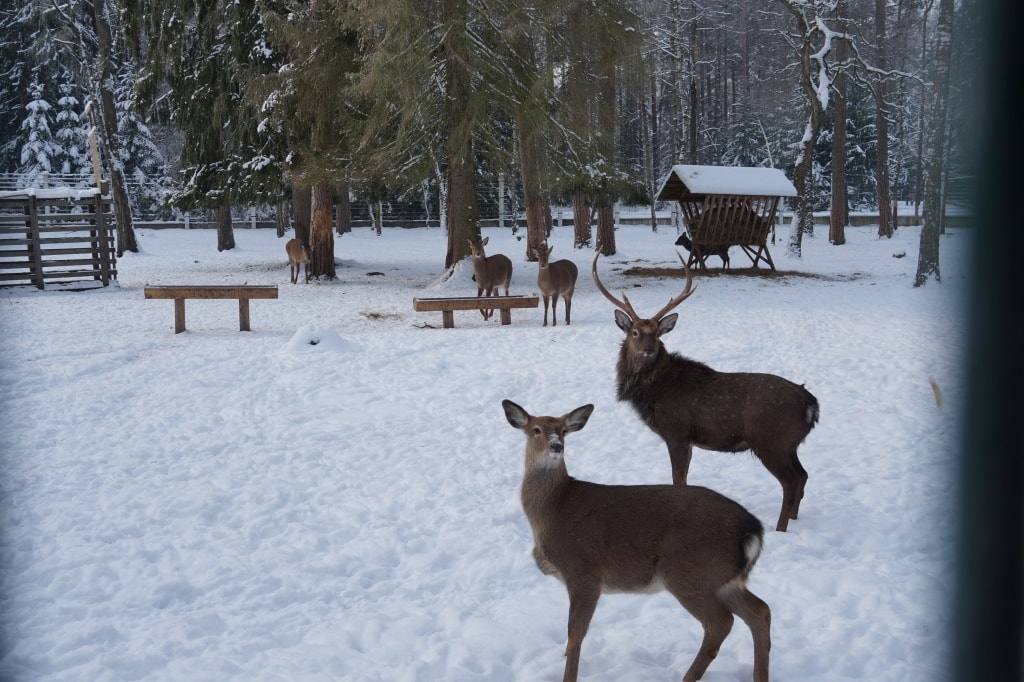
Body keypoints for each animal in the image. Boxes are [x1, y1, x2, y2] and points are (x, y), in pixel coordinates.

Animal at [499, 399, 770, 679]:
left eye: (563, 431)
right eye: (536, 430)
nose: (556, 446)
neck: (552, 510)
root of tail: (753, 530)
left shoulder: (583, 571)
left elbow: (576, 634)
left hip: (689, 571)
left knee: (721, 622)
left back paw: (688, 676)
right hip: (723, 579)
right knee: (760, 611)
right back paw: (759, 676)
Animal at [593, 250, 815, 532]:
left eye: (657, 333)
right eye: (634, 332)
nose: (648, 350)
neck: (654, 392)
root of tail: (811, 404)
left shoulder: (677, 432)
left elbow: (678, 479)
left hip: (771, 440)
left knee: (791, 481)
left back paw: (780, 528)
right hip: (790, 444)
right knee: (803, 475)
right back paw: (795, 519)